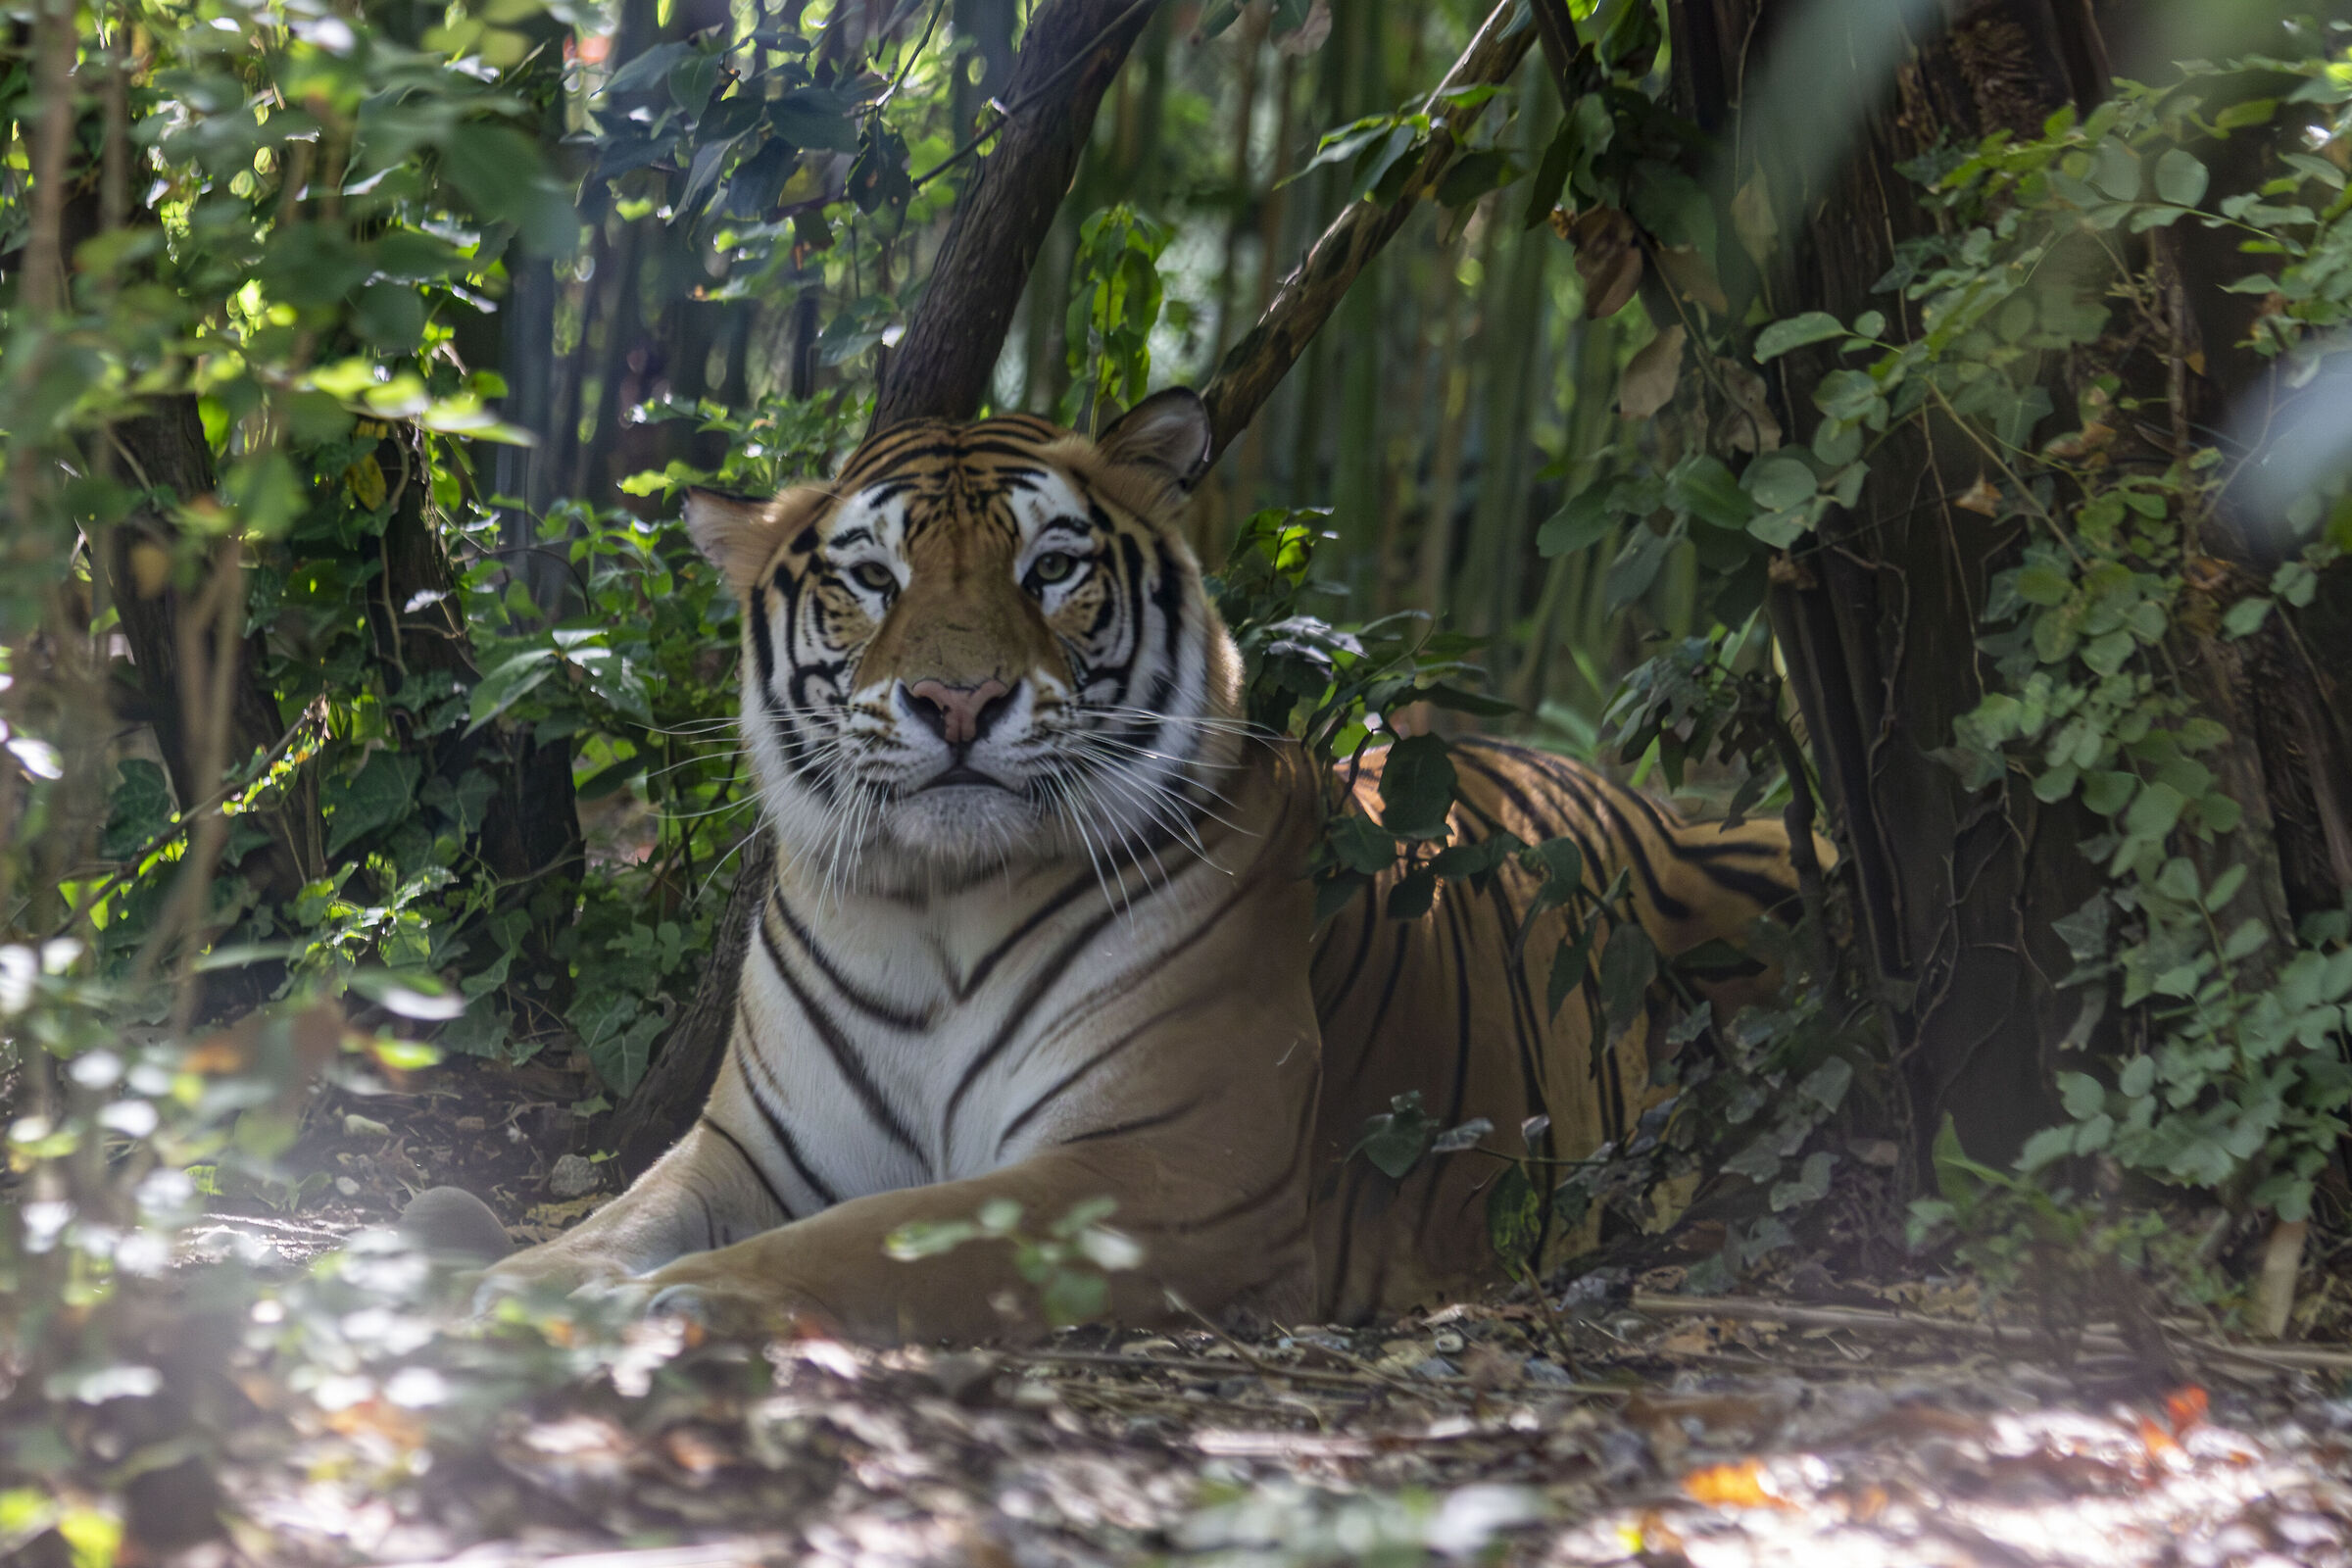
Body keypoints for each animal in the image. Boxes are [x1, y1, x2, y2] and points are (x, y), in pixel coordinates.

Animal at [423, 389, 1817, 1343]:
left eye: (1051, 568)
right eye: (870, 578)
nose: (958, 701)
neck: (930, 910)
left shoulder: (1159, 1170)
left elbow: (880, 1237)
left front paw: (680, 1302)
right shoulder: (751, 1148)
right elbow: (617, 1217)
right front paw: (511, 1281)